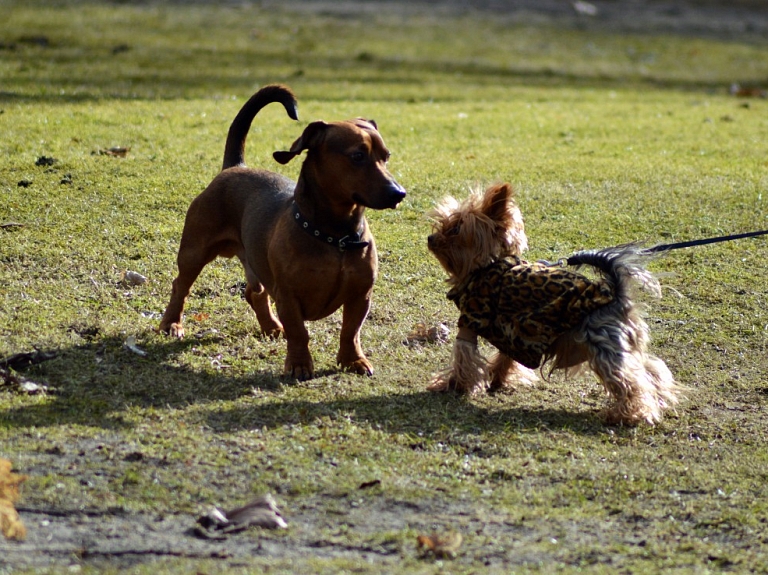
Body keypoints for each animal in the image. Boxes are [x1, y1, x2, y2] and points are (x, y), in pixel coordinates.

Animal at [158, 84, 404, 378]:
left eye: (386, 156)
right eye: (357, 156)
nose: (399, 193)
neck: (336, 238)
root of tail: (235, 167)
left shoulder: (360, 295)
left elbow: (350, 331)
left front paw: (353, 360)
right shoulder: (288, 295)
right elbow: (299, 332)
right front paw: (299, 364)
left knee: (254, 293)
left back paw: (271, 326)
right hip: (194, 252)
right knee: (180, 286)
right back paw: (172, 324)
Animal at [428, 182, 680, 426]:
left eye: (456, 229)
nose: (430, 239)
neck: (488, 265)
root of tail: (616, 295)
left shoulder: (471, 319)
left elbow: (464, 357)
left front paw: (453, 385)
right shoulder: (513, 333)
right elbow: (504, 358)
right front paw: (496, 379)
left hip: (605, 347)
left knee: (630, 382)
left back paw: (631, 415)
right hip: (625, 346)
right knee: (650, 370)